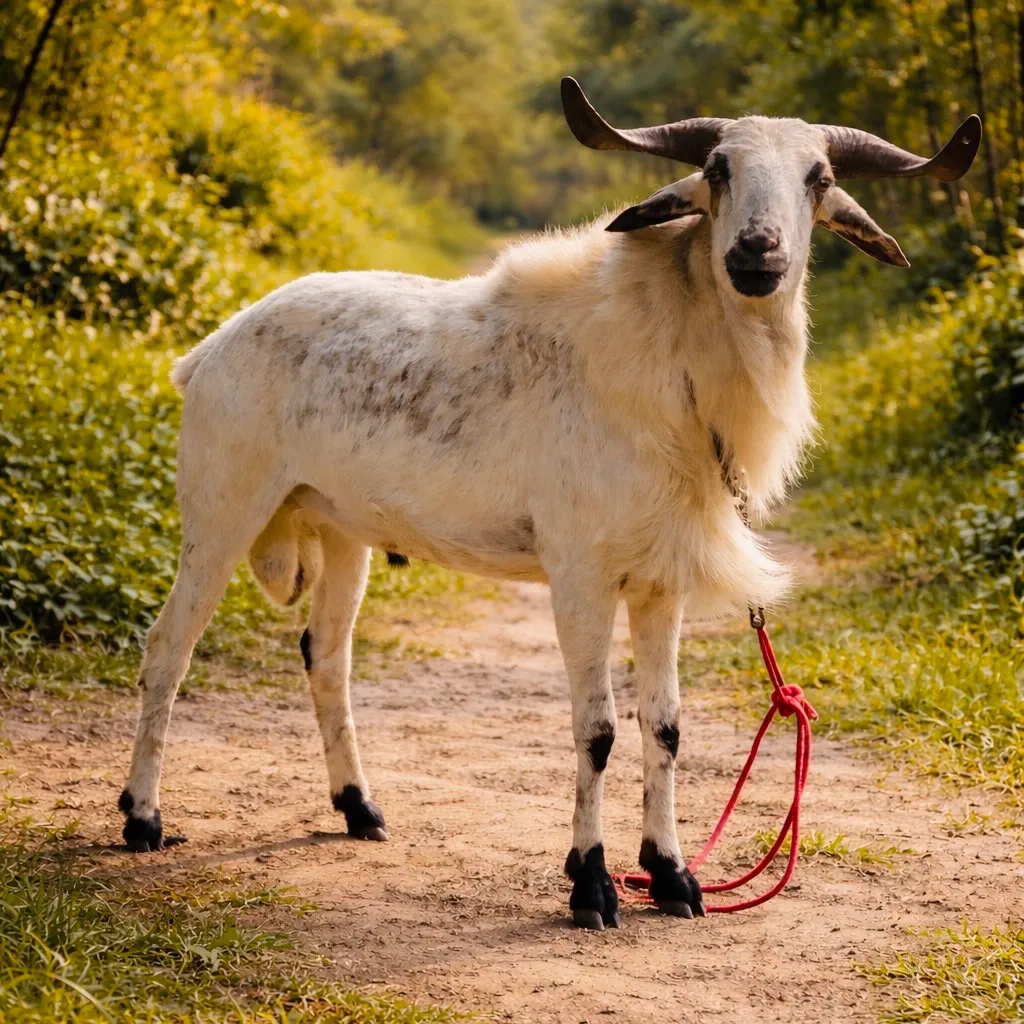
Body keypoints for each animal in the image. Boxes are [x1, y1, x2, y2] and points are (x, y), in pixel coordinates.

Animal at [118, 78, 980, 929]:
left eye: (818, 178)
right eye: (719, 169)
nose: (756, 254)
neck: (672, 366)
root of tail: (211, 348)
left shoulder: (660, 582)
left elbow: (665, 725)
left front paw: (671, 876)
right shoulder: (581, 575)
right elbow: (596, 730)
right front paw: (591, 884)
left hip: (340, 530)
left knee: (325, 655)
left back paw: (359, 809)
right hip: (223, 508)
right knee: (169, 648)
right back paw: (142, 819)